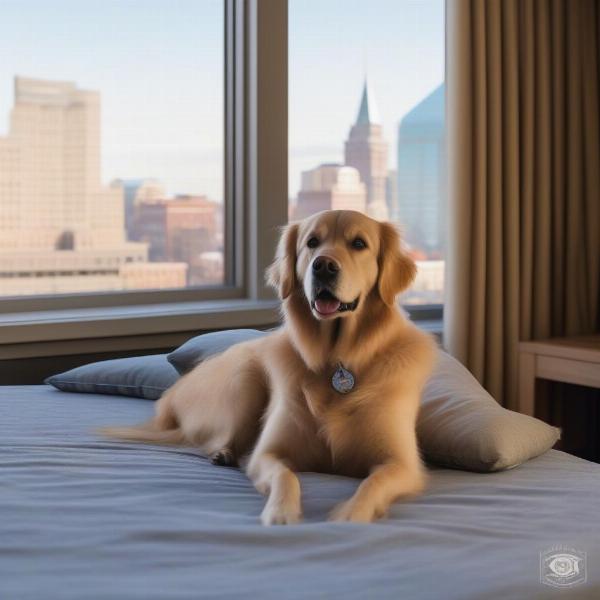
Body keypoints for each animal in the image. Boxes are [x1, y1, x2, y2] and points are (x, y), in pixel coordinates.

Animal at [102, 211, 432, 524]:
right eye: (312, 243)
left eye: (359, 244)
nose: (323, 266)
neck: (338, 358)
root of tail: (171, 396)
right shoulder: (268, 454)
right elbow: (286, 477)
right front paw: (281, 513)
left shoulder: (402, 465)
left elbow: (372, 484)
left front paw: (351, 514)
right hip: (245, 379)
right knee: (217, 437)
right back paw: (224, 453)